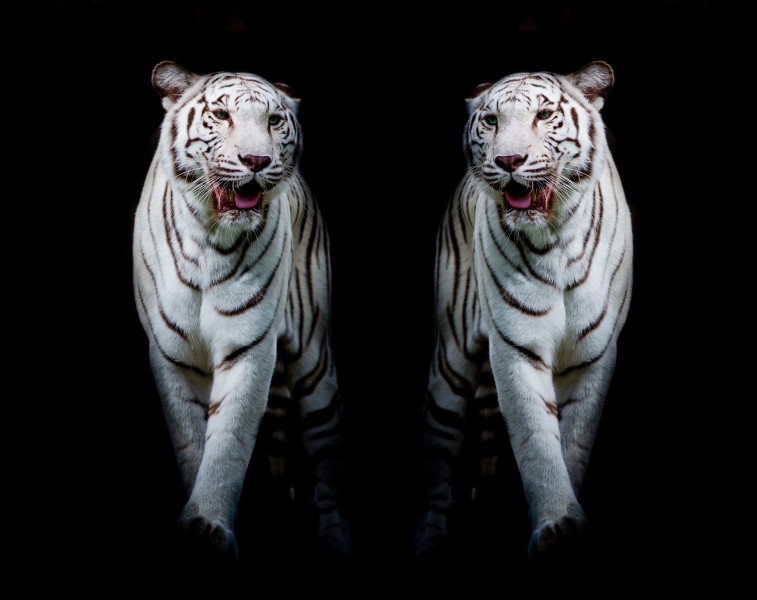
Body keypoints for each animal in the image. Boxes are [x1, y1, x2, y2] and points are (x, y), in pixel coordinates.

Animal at [132, 60, 350, 559]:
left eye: (273, 121)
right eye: (221, 115)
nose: (256, 161)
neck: (210, 238)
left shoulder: (249, 346)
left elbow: (229, 439)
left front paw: (209, 523)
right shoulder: (171, 354)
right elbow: (192, 441)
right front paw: (198, 523)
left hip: (314, 362)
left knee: (327, 456)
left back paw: (334, 538)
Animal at [415, 61, 633, 559]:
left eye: (544, 115)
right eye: (492, 121)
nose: (509, 161)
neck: (555, 238)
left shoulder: (594, 354)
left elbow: (573, 441)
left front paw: (567, 524)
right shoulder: (516, 346)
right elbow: (536, 439)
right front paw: (556, 524)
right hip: (450, 363)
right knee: (437, 457)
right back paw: (431, 538)